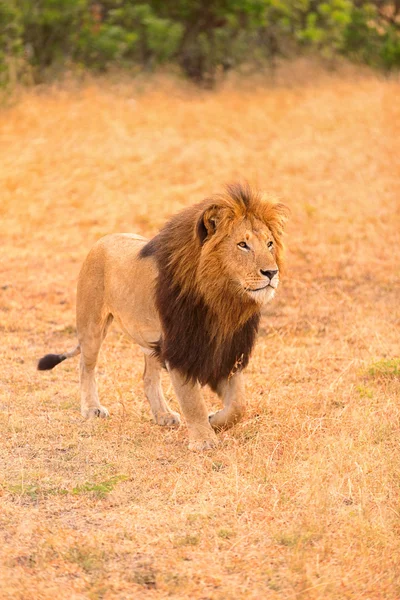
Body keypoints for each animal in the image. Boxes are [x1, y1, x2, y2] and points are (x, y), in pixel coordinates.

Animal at [38, 183, 288, 450]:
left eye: (269, 244)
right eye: (243, 245)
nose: (272, 272)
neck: (223, 301)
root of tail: (105, 238)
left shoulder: (226, 351)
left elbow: (239, 404)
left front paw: (215, 422)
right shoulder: (180, 349)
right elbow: (192, 400)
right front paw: (204, 440)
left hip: (151, 341)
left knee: (148, 377)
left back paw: (163, 415)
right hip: (92, 325)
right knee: (86, 366)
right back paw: (92, 408)